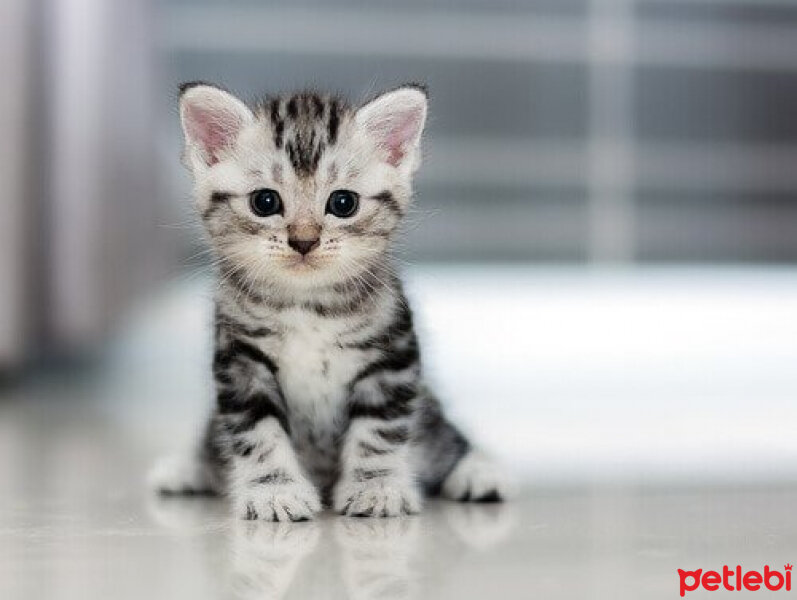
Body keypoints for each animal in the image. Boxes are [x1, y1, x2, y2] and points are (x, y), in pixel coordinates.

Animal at [148, 82, 510, 516]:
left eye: (343, 203)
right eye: (265, 202)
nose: (304, 241)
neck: (308, 306)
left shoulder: (392, 354)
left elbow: (379, 430)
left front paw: (376, 487)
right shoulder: (240, 358)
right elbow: (257, 431)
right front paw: (275, 491)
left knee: (442, 438)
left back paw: (479, 472)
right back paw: (186, 469)